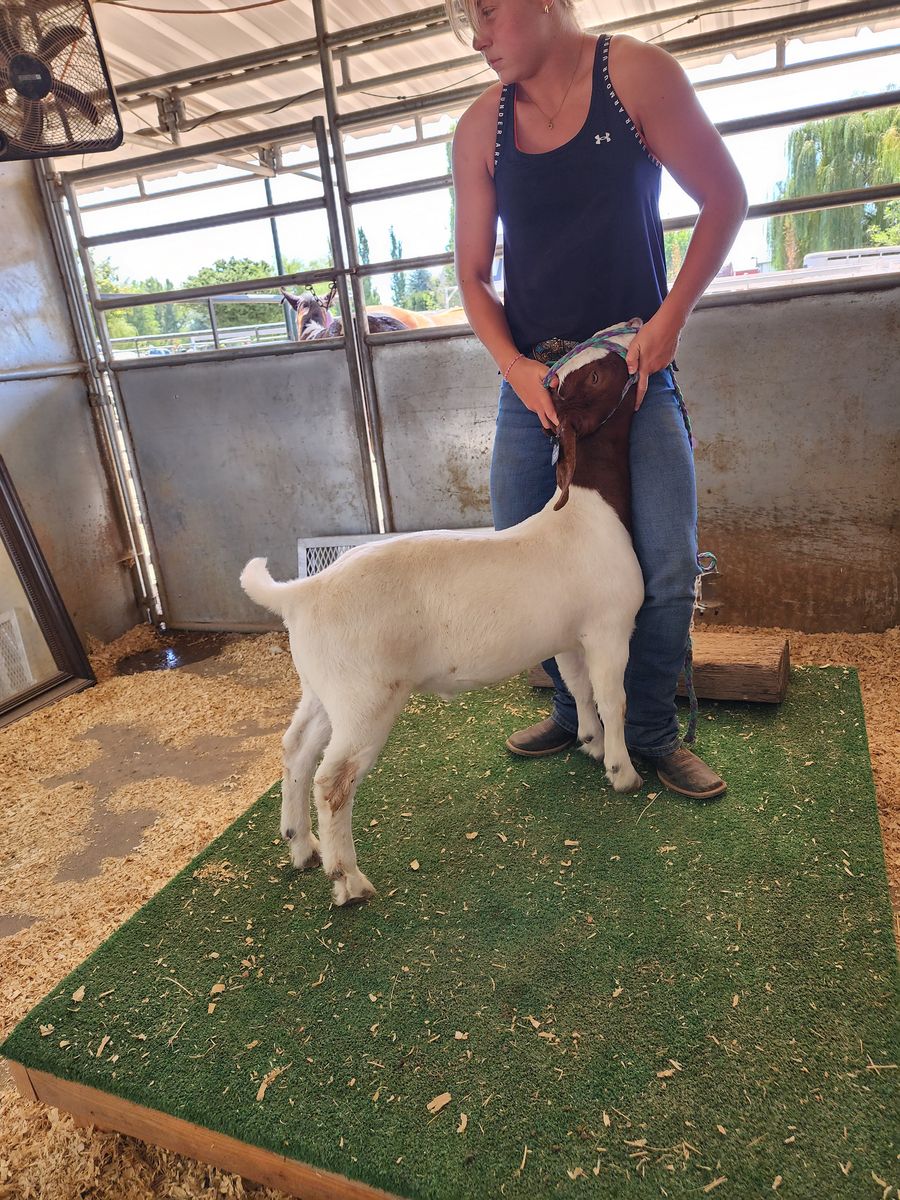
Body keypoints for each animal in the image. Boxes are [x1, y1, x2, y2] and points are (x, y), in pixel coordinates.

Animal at [241, 320, 645, 906]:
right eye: (593, 376)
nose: (633, 332)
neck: (589, 512)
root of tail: (302, 592)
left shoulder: (571, 636)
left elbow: (580, 689)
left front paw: (590, 744)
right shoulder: (611, 626)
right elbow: (615, 698)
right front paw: (622, 771)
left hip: (325, 687)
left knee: (295, 750)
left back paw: (302, 846)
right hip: (366, 696)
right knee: (333, 780)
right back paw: (348, 879)